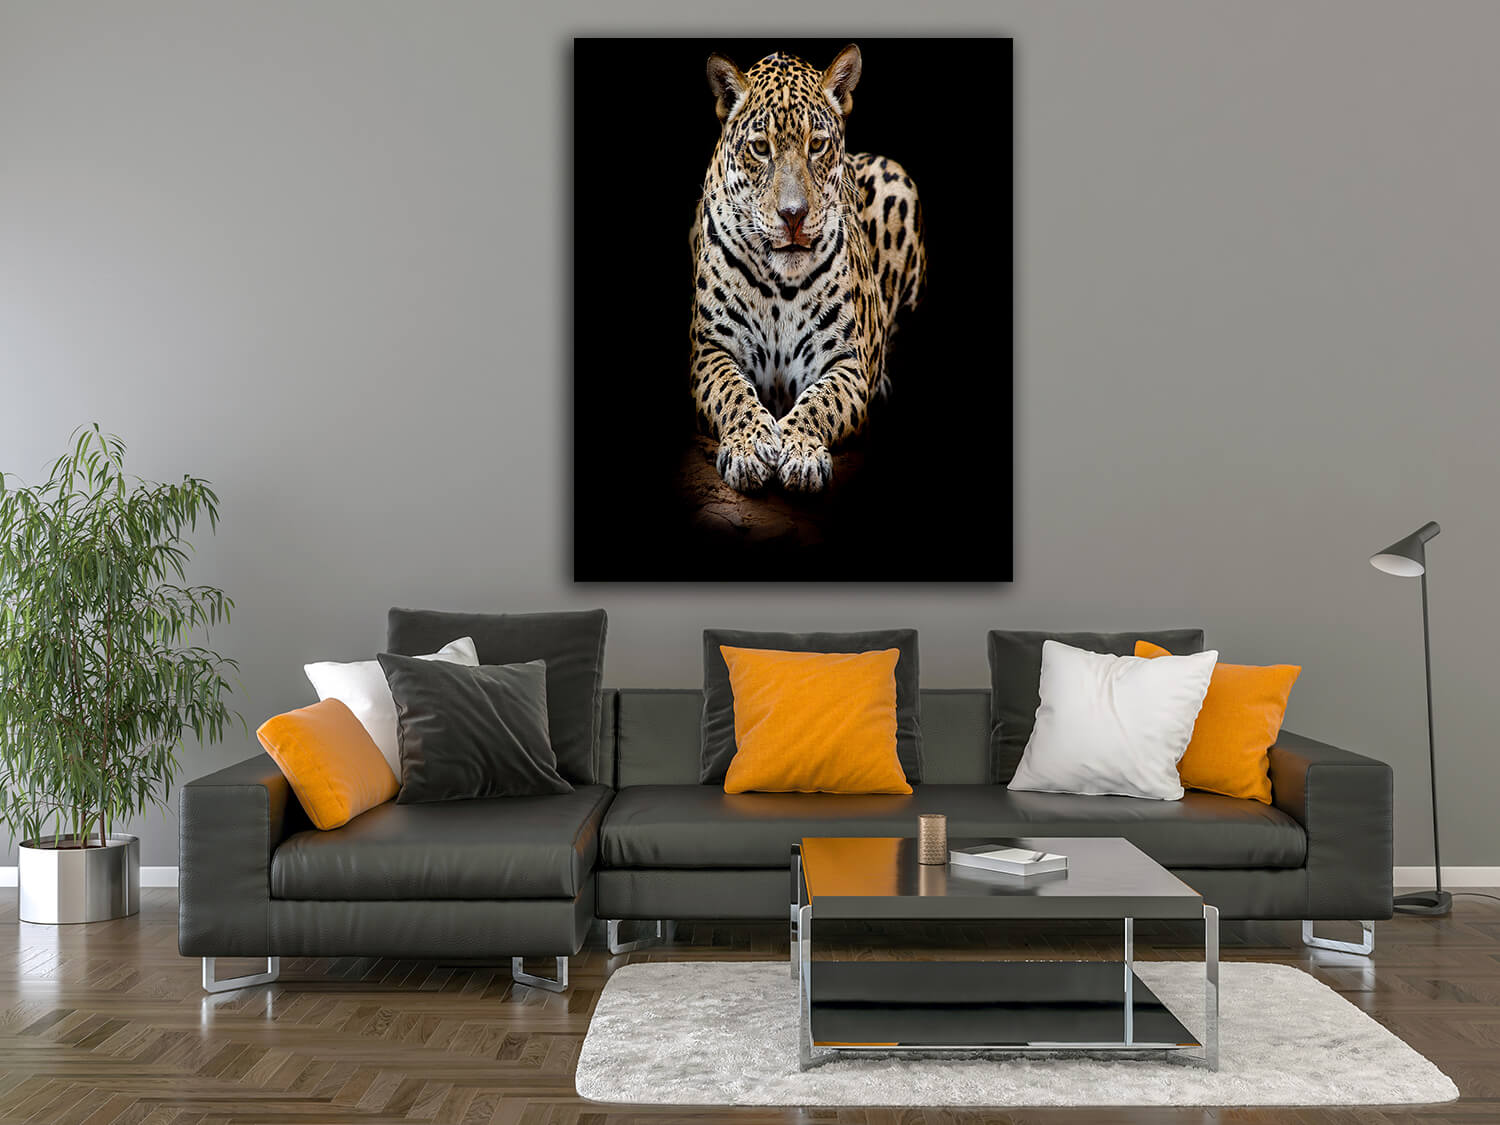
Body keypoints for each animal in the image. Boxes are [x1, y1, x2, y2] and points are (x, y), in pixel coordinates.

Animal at [689, 44, 926, 494]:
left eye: (816, 144)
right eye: (760, 148)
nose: (793, 215)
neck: (778, 285)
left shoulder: (847, 363)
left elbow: (821, 401)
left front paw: (799, 452)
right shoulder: (709, 350)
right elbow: (732, 391)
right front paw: (749, 446)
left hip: (897, 180)